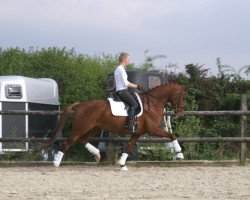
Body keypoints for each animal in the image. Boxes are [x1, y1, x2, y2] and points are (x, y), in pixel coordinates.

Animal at [45, 83, 189, 170]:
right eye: (182, 97)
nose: (181, 113)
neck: (153, 103)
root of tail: (81, 105)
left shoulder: (137, 133)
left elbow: (129, 147)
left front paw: (122, 165)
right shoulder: (152, 129)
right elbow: (172, 135)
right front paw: (180, 154)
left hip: (94, 128)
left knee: (83, 140)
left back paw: (97, 155)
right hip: (80, 128)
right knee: (68, 142)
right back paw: (56, 163)